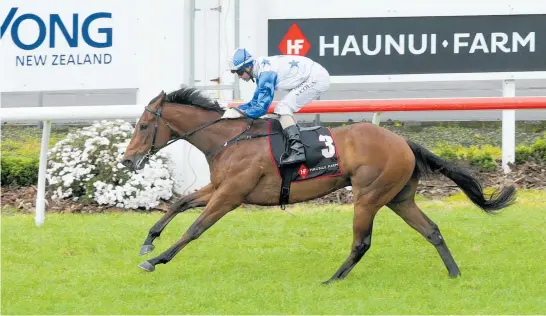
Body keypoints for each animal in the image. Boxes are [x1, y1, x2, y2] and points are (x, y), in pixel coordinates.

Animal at [120, 86, 516, 284]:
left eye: (143, 126)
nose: (126, 159)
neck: (230, 139)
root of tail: (404, 142)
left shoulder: (231, 196)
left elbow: (195, 229)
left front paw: (155, 260)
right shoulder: (219, 189)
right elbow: (180, 203)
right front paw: (148, 241)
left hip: (368, 196)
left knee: (362, 242)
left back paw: (333, 279)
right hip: (399, 198)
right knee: (431, 230)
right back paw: (454, 273)